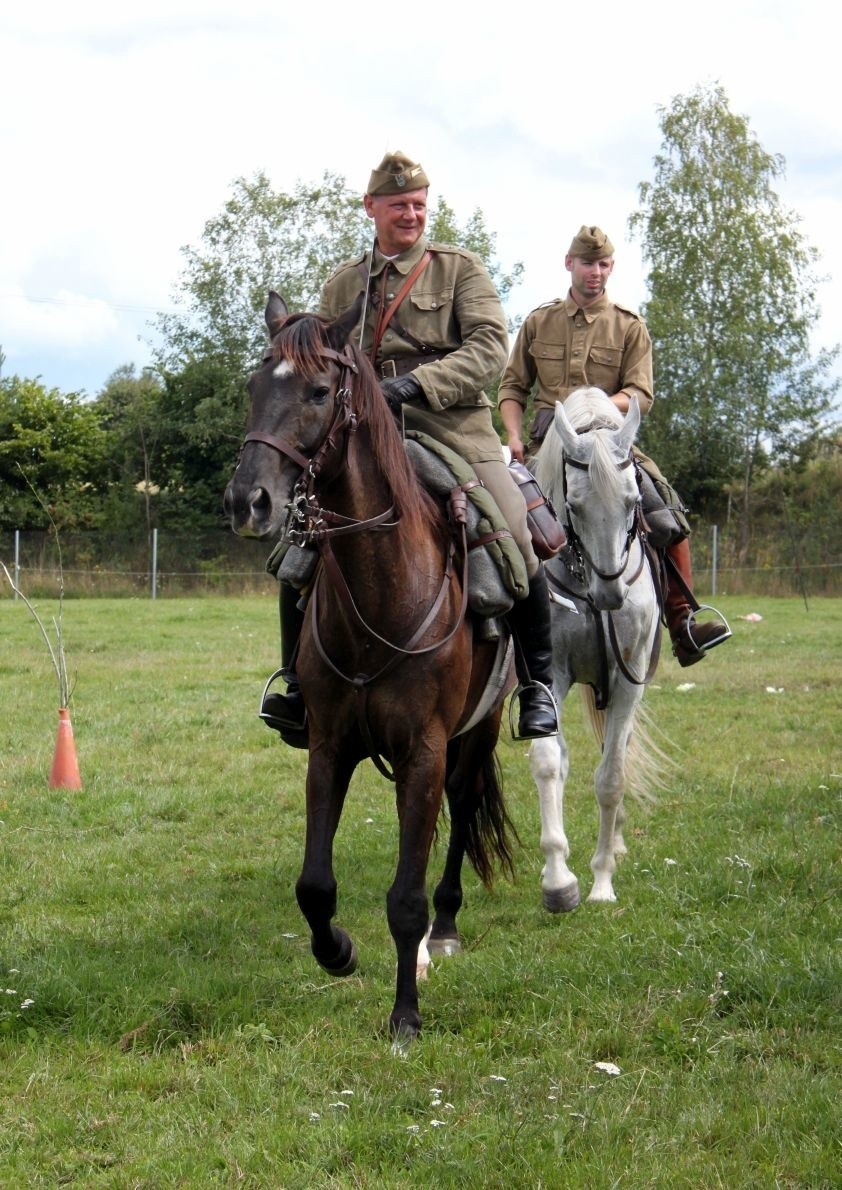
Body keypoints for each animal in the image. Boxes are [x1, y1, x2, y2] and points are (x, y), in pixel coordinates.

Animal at [222, 292, 513, 1047]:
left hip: (478, 733)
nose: (248, 502)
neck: (383, 586)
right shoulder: (331, 748)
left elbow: (405, 898)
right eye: (254, 387)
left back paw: (447, 926)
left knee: (461, 811)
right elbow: (314, 886)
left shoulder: (425, 752)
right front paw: (338, 951)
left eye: (320, 392)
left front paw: (405, 1014)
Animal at [532, 385, 665, 904]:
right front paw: (558, 877)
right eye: (575, 504)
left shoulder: (628, 680)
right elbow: (549, 762)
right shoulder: (548, 676)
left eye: (633, 500)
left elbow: (611, 778)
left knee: (618, 752)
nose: (611, 593)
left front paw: (603, 881)